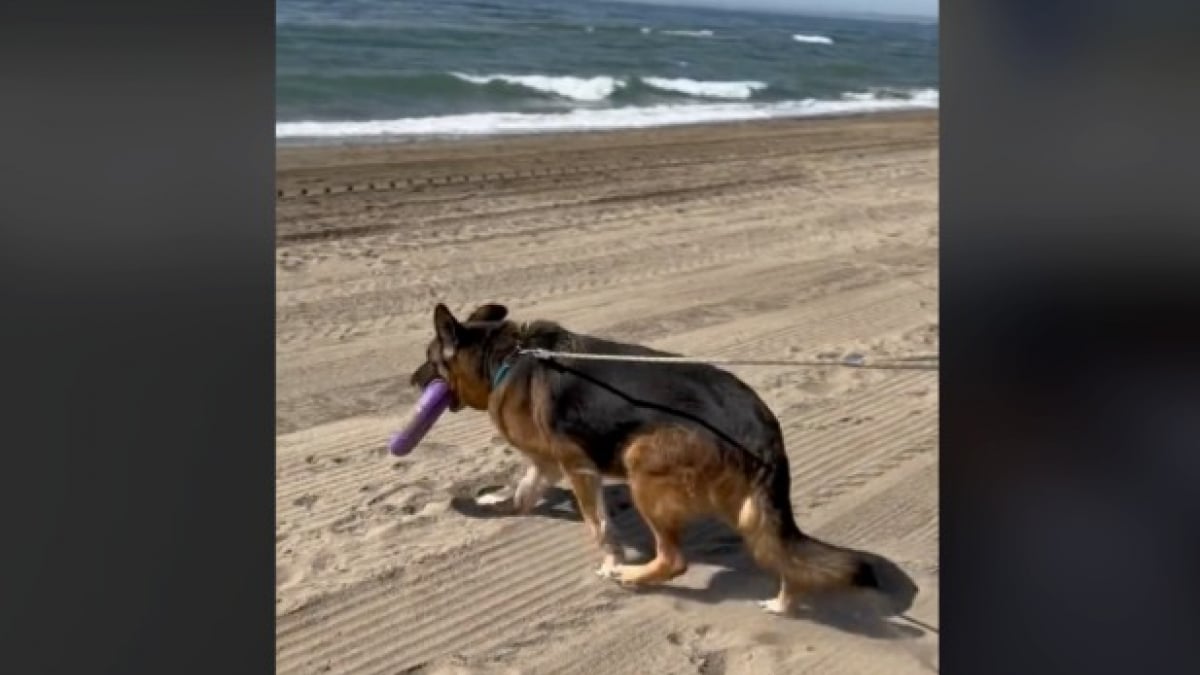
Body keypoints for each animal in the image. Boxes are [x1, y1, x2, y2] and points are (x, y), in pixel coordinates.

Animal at [412, 302, 883, 612]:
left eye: (429, 360)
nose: (411, 382)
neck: (505, 356)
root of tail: (761, 425)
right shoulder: (546, 462)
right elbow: (523, 490)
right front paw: (500, 503)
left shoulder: (577, 466)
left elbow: (599, 527)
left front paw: (612, 562)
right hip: (749, 508)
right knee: (781, 553)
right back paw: (784, 601)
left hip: (642, 464)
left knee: (675, 560)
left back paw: (633, 577)